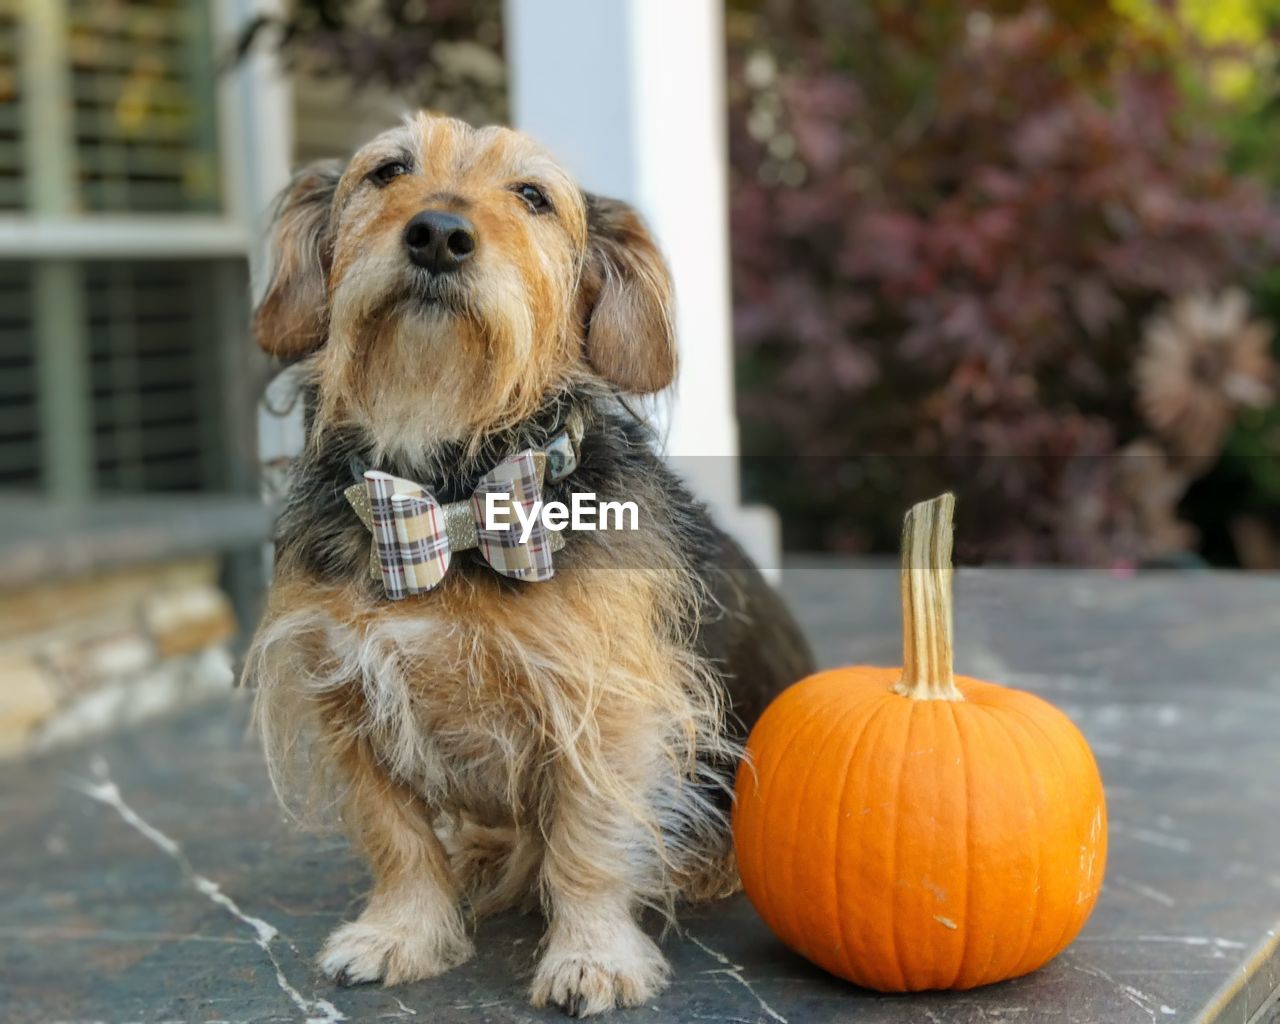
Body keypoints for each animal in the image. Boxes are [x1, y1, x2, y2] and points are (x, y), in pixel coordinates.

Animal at [244, 113, 814, 1013]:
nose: (439, 234)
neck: (444, 494)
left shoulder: (603, 705)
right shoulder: (347, 692)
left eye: (533, 196)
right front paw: (400, 933)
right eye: (387, 171)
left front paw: (593, 958)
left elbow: (588, 841)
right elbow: (394, 833)